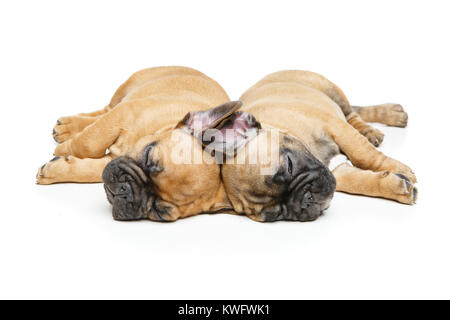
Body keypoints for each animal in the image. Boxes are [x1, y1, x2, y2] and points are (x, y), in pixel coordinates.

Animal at [36, 66, 258, 221]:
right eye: (148, 154)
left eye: (158, 211)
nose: (125, 190)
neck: (162, 125)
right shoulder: (122, 114)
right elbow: (89, 142)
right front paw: (64, 148)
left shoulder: (113, 158)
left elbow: (92, 170)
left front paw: (56, 169)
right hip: (127, 90)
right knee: (105, 110)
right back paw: (68, 127)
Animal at [223, 70, 416, 221]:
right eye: (276, 214)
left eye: (289, 165)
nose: (306, 200)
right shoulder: (337, 172)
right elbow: (358, 182)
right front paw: (396, 187)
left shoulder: (335, 126)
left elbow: (363, 155)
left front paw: (399, 169)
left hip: (330, 90)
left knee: (352, 113)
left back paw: (375, 127)